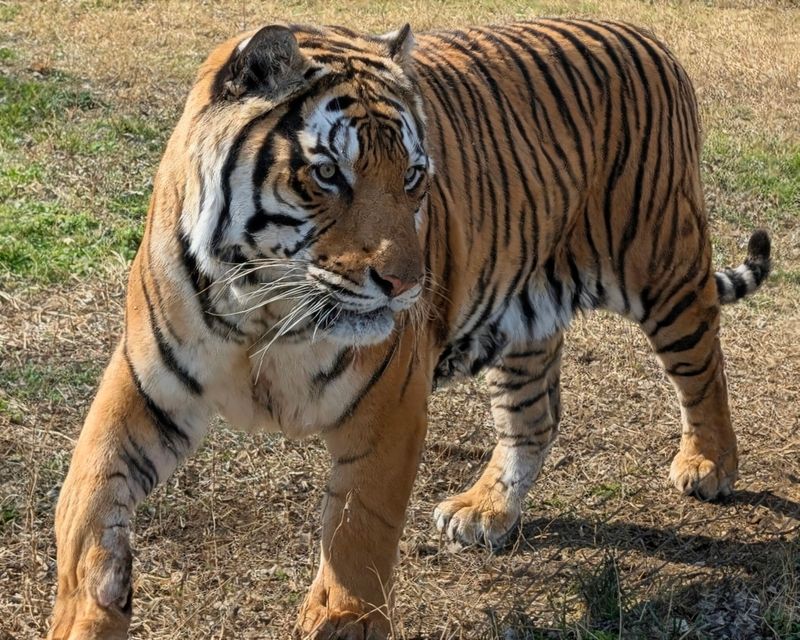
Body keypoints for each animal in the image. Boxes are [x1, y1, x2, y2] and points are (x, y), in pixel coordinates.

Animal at [48, 18, 771, 640]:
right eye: (327, 174)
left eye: (414, 176)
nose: (405, 284)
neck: (264, 309)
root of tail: (648, 37)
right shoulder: (141, 389)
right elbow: (87, 507)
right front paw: (87, 614)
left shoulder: (389, 403)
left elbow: (359, 528)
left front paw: (343, 622)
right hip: (524, 316)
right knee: (533, 418)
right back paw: (488, 510)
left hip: (664, 269)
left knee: (704, 366)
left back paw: (708, 464)